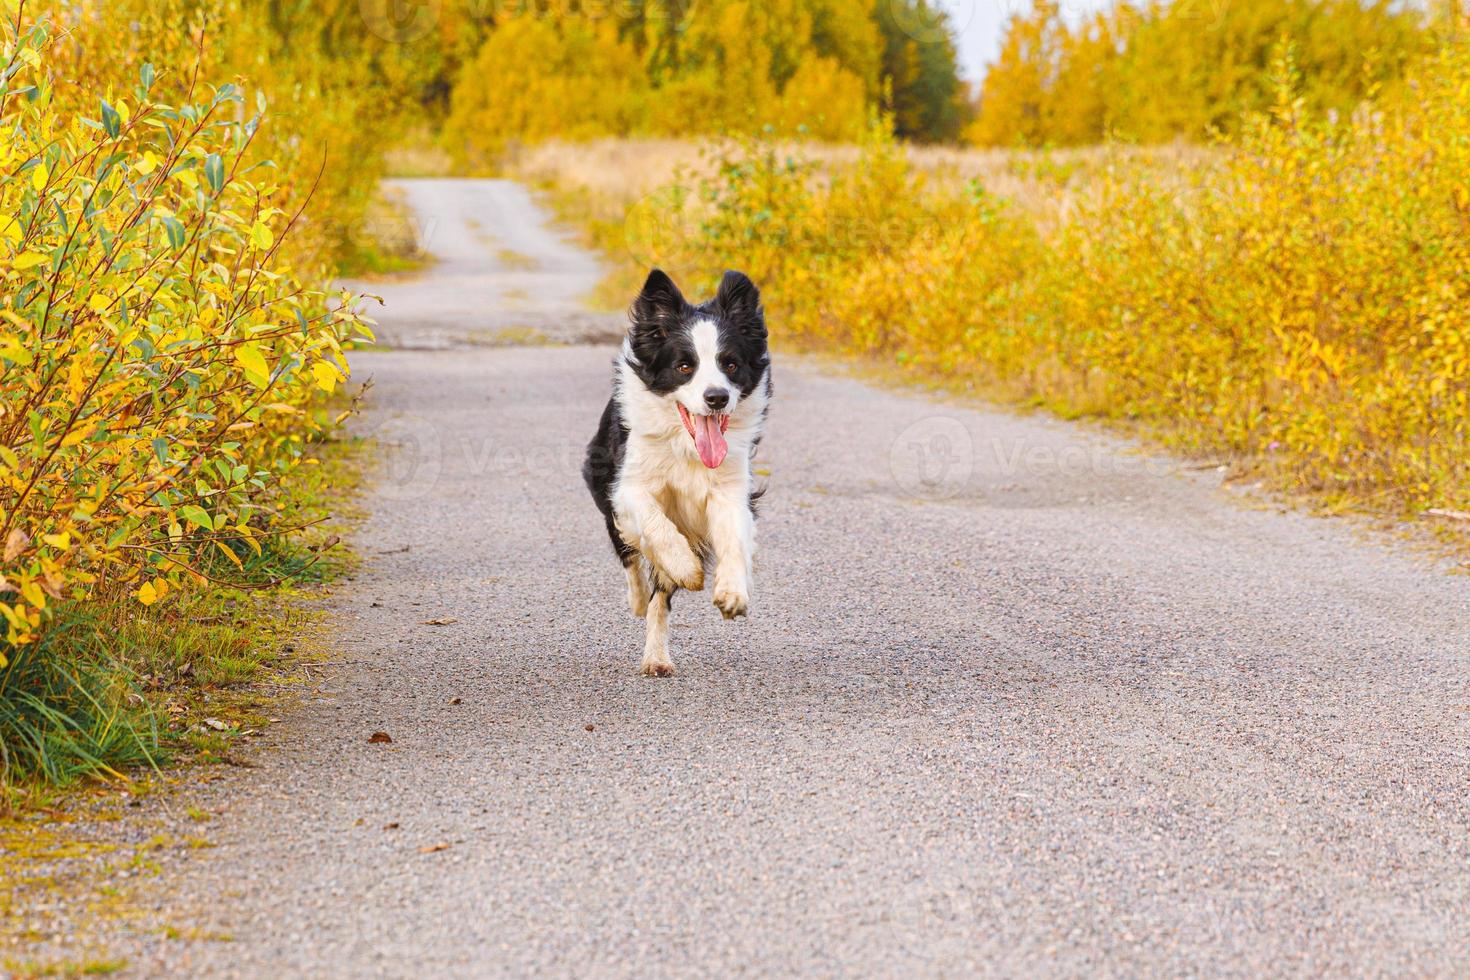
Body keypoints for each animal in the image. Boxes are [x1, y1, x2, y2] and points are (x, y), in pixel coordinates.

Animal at [582, 271, 776, 678]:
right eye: (685, 366)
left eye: (730, 364)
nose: (717, 398)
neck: (685, 446)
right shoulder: (628, 486)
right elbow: (655, 524)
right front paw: (687, 567)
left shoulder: (730, 489)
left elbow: (734, 538)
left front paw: (732, 592)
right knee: (632, 559)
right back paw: (640, 600)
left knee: (660, 601)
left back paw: (657, 658)